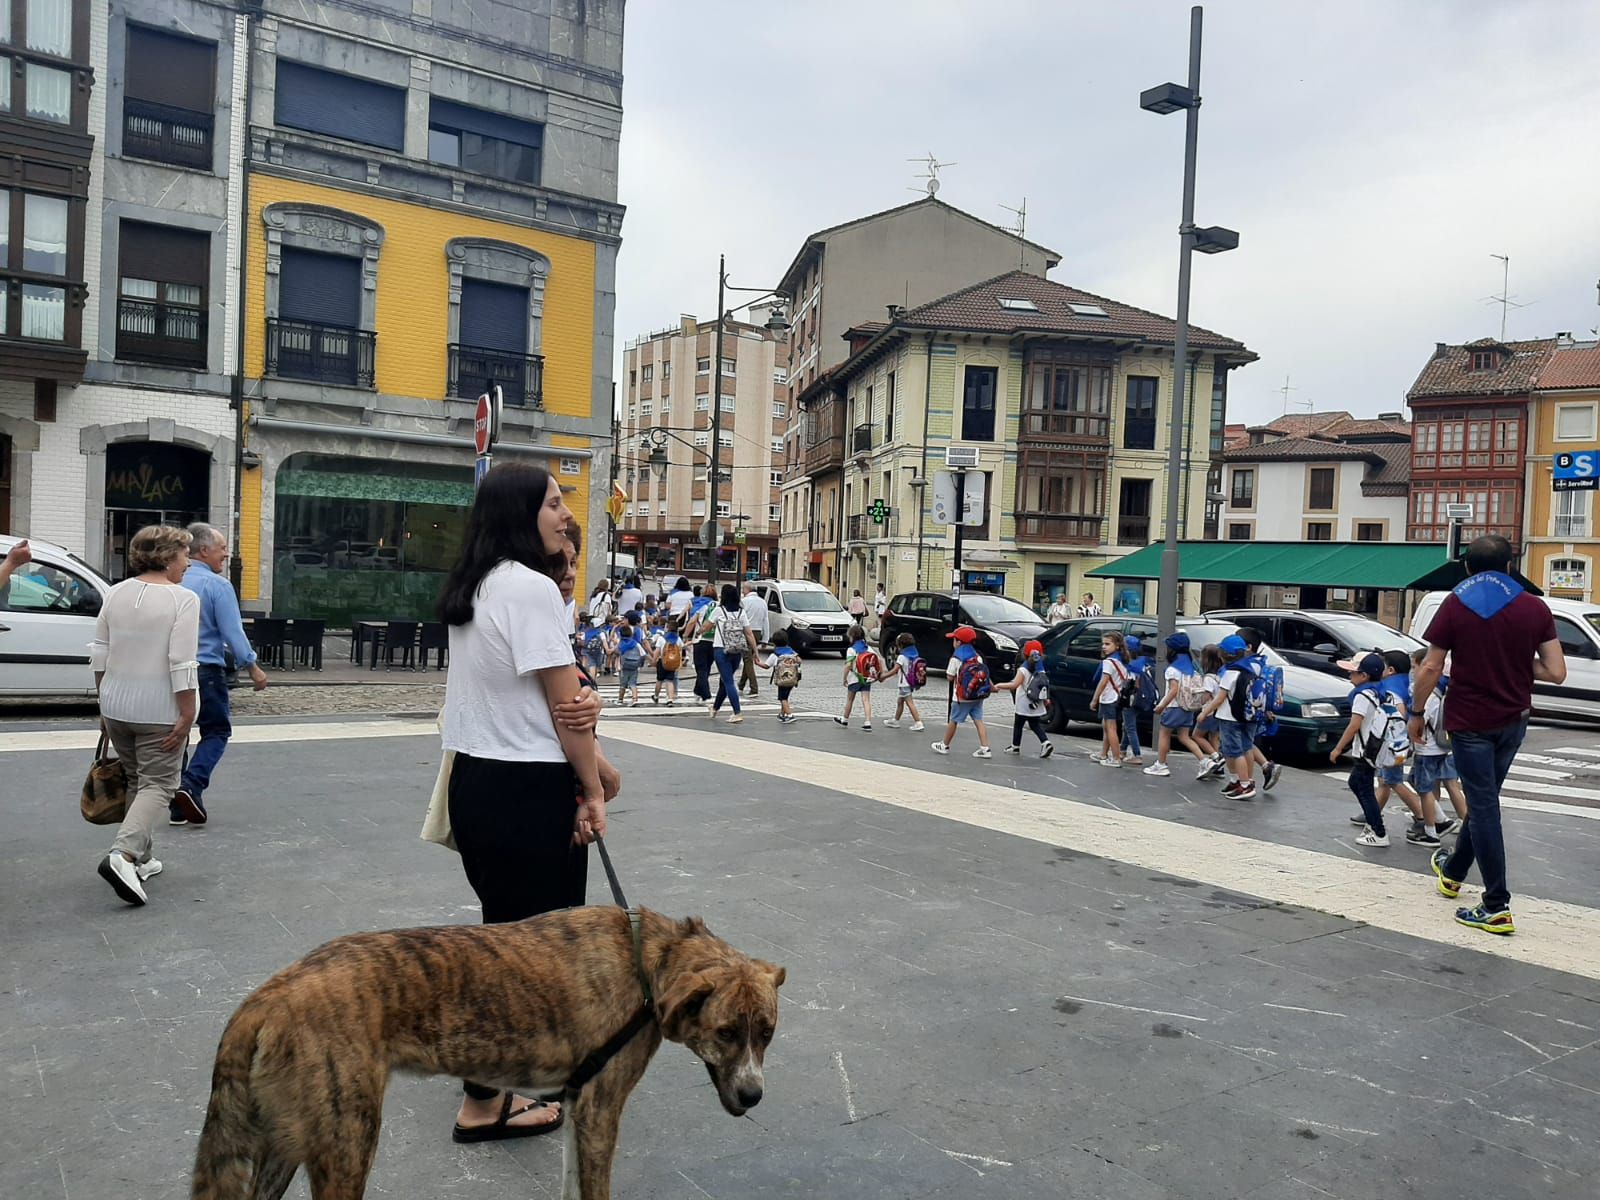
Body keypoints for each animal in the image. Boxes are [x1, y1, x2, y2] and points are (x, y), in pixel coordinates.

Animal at [192, 908, 787, 1200]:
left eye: (767, 1034)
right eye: (727, 1032)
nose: (755, 1096)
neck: (648, 962)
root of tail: (266, 997)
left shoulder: (580, 1112)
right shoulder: (601, 1112)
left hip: (284, 1141)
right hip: (346, 1144)